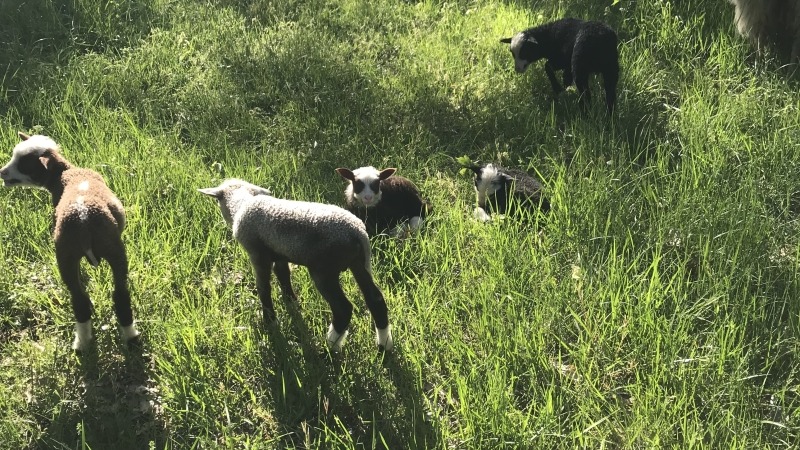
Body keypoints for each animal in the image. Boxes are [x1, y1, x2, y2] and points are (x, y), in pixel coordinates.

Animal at [0, 134, 141, 352]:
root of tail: (82, 218)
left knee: (85, 300)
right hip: (107, 249)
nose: (2, 172)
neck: (65, 173)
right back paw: (103, 340)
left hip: (69, 253)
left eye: (24, 165)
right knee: (109, 297)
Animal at [197, 179, 390, 352]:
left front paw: (270, 321)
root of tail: (358, 232)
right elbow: (283, 274)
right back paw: (384, 344)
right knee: (376, 300)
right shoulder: (281, 254)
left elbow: (263, 287)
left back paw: (331, 345)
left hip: (323, 270)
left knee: (343, 308)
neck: (242, 205)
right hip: (358, 263)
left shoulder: (258, 255)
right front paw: (291, 302)